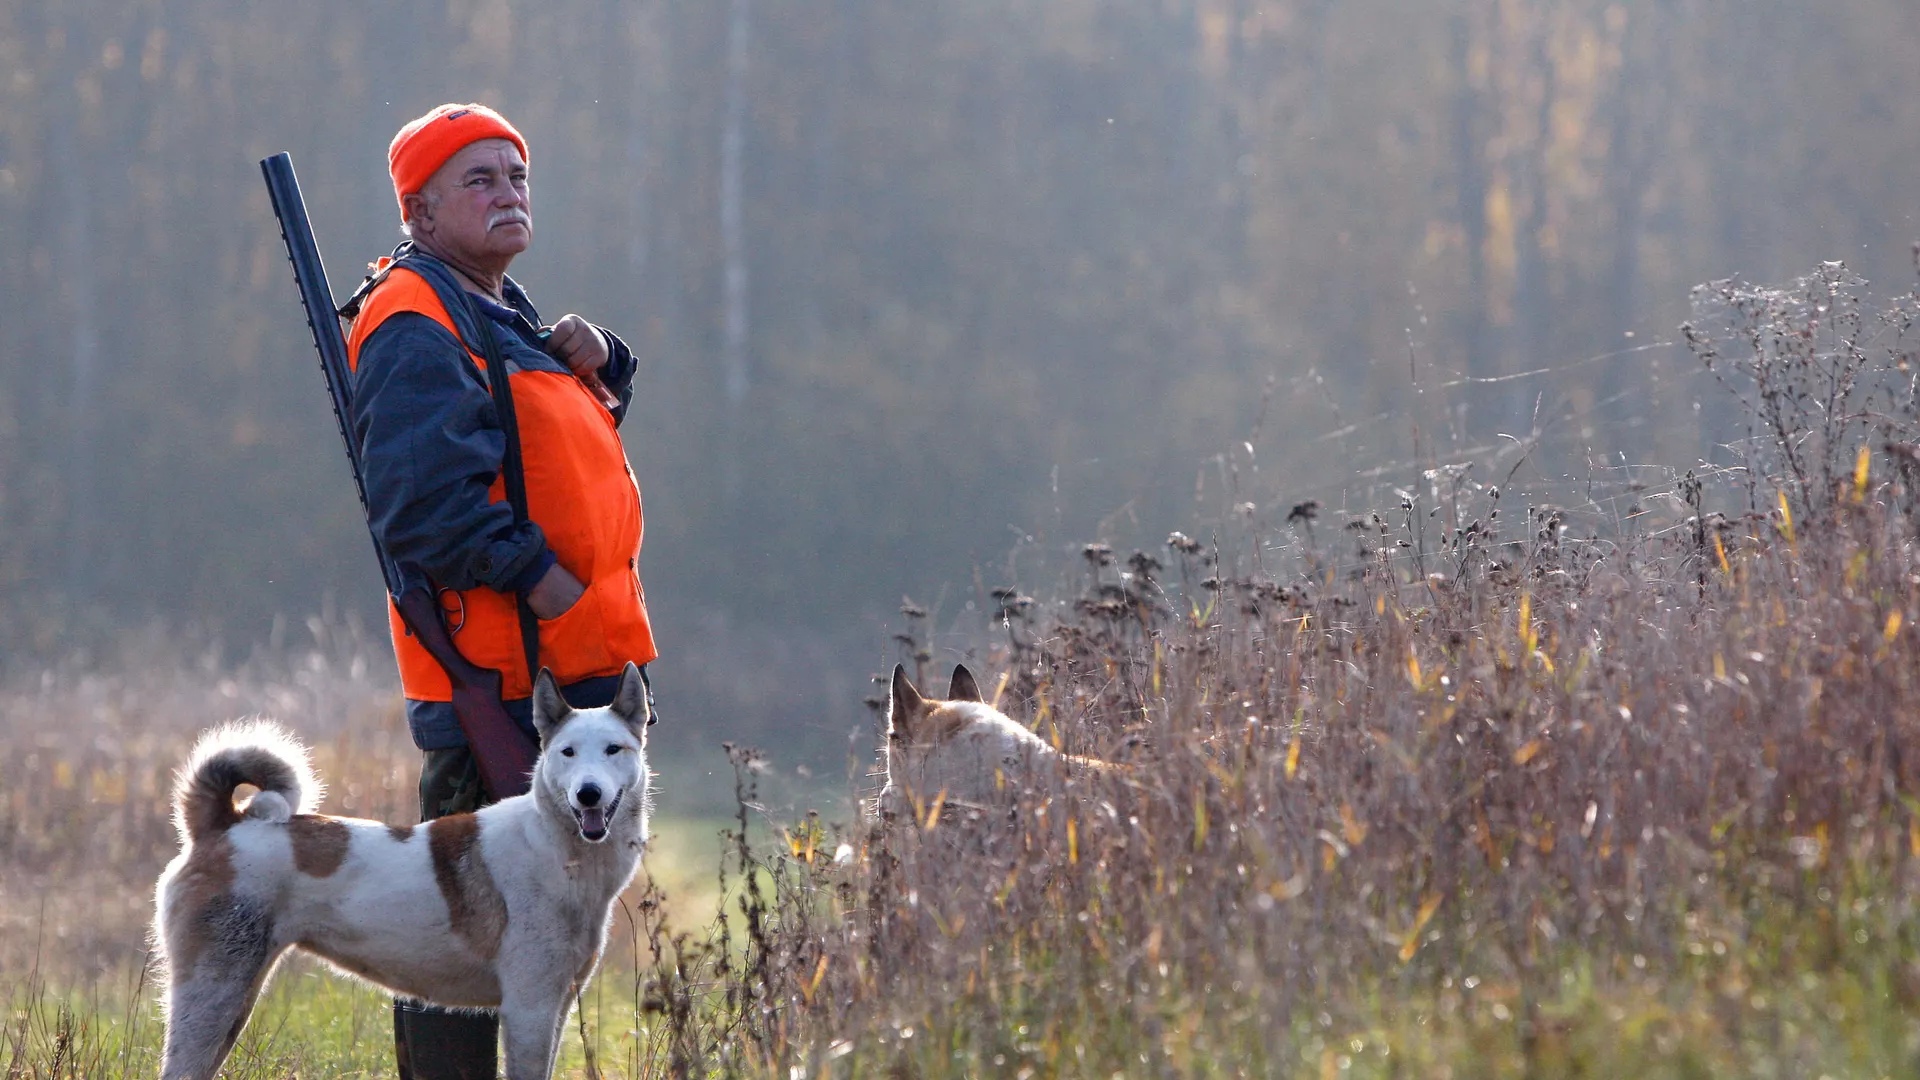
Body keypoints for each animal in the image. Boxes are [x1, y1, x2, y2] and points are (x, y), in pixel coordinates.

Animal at [144, 661, 652, 1068]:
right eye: (567, 752)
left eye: (613, 750)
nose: (588, 793)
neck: (555, 847)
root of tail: (222, 826)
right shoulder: (529, 1010)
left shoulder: (556, 1007)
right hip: (214, 995)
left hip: (234, 1004)